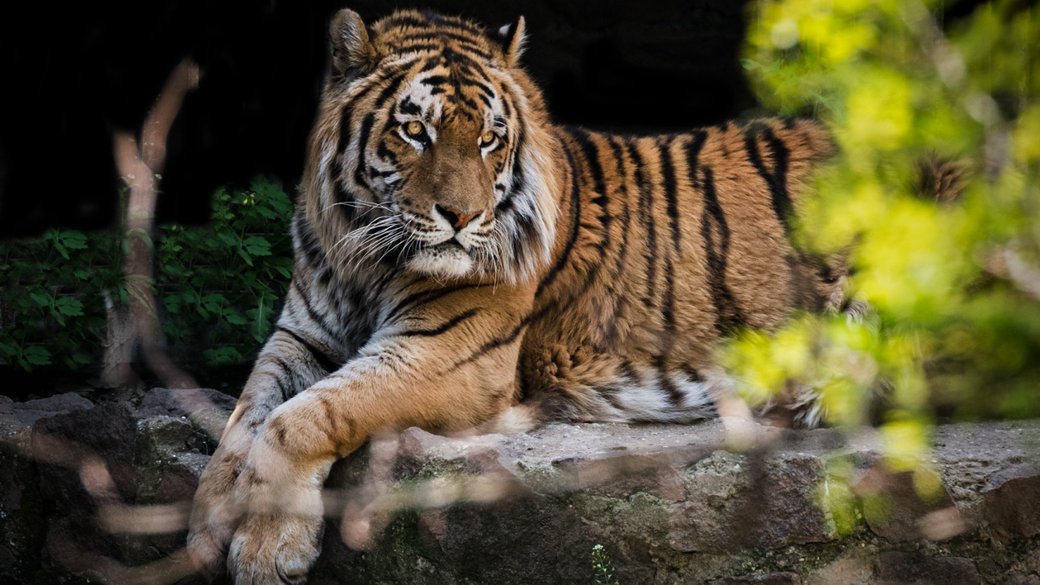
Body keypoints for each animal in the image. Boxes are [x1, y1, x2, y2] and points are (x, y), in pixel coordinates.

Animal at [186, 8, 846, 583]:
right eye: (415, 130)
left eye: (488, 139)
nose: (461, 216)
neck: (362, 261)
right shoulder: (300, 337)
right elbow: (244, 419)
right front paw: (204, 529)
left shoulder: (448, 355)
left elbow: (300, 419)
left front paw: (265, 548)